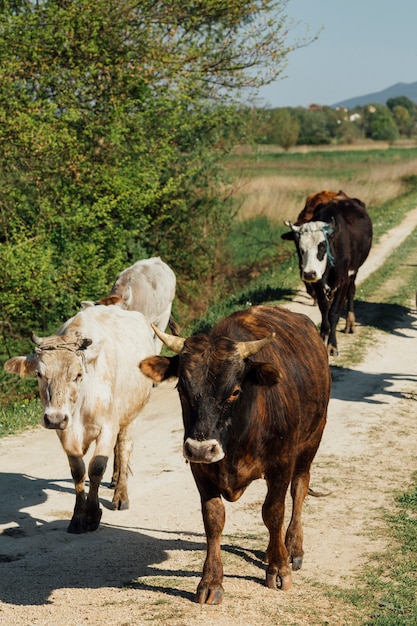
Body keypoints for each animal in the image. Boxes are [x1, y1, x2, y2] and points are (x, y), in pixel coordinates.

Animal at [4, 302, 154, 532]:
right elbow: (78, 471)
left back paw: (120, 494)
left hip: (133, 413)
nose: (55, 419)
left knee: (124, 448)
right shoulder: (65, 432)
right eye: (39, 374)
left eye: (78, 374)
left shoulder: (108, 426)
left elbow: (96, 467)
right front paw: (77, 516)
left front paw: (92, 514)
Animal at [138, 304, 330, 604]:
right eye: (182, 389)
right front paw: (211, 581)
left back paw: (292, 547)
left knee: (299, 488)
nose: (201, 448)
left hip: (311, 441)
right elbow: (213, 519)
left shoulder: (281, 464)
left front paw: (279, 567)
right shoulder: (200, 470)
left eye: (235, 391)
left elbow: (273, 512)